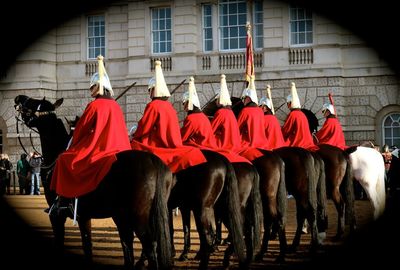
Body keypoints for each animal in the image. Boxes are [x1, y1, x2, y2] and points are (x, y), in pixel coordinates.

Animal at [14, 95, 173, 270]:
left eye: (33, 103)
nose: (19, 97)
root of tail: (152, 159)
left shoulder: (57, 217)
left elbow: (65, 243)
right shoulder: (84, 216)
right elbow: (88, 247)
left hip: (137, 217)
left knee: (149, 246)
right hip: (127, 215)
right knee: (131, 246)